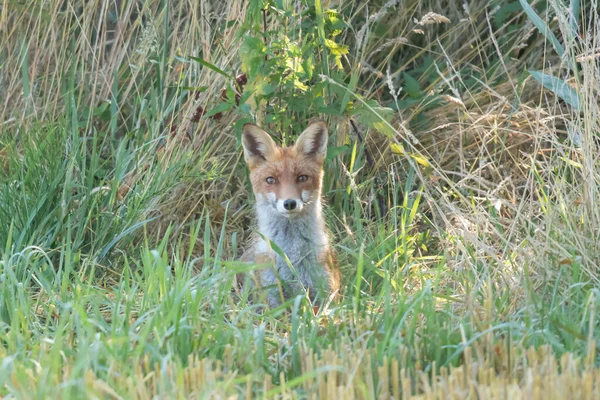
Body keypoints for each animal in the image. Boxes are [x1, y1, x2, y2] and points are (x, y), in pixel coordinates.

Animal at [238, 120, 338, 308]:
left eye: (302, 178)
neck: (291, 254)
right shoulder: (270, 297)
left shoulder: (328, 294)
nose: (290, 203)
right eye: (271, 180)